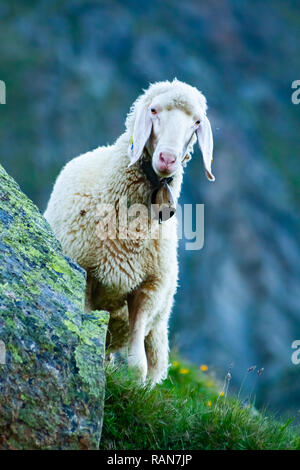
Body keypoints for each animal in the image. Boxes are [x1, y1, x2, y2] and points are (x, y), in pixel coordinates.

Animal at [44, 79, 213, 384]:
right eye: (154, 110)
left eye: (196, 122)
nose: (168, 158)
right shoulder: (86, 276)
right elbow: (86, 332)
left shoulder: (148, 291)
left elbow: (138, 365)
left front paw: (135, 387)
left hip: (158, 323)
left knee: (153, 365)